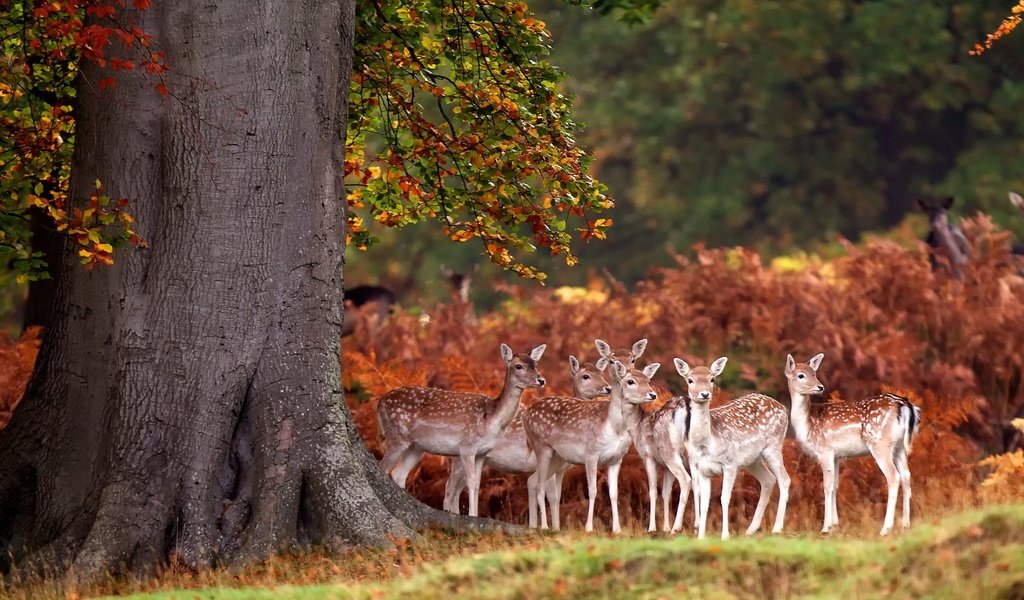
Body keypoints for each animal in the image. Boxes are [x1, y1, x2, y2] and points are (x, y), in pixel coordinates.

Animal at [376, 341, 548, 513]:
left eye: (536, 364)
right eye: (518, 366)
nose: (541, 380)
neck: (491, 420)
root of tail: (380, 403)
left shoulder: (482, 453)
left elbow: (477, 483)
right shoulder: (467, 447)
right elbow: (471, 481)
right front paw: (472, 514)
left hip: (416, 447)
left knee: (398, 473)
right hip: (396, 436)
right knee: (384, 467)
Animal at [444, 352, 610, 524]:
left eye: (602, 374)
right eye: (586, 376)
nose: (608, 387)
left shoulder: (560, 469)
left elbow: (555, 495)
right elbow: (551, 496)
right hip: (459, 457)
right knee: (450, 488)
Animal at [524, 352, 659, 528]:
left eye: (648, 381)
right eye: (631, 381)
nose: (652, 394)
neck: (614, 427)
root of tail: (526, 415)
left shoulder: (616, 459)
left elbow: (613, 493)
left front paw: (617, 528)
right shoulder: (591, 454)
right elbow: (593, 490)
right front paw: (588, 527)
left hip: (557, 457)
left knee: (533, 481)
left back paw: (537, 526)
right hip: (541, 447)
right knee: (540, 485)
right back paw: (545, 527)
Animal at [675, 352, 794, 540]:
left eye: (712, 378)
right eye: (690, 379)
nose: (704, 394)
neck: (707, 444)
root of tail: (783, 407)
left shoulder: (729, 463)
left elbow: (724, 498)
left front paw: (725, 535)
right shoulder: (701, 469)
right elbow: (704, 502)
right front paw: (701, 536)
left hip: (773, 447)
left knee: (784, 479)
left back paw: (776, 528)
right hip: (752, 460)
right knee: (768, 479)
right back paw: (751, 529)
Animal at [786, 350, 925, 532]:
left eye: (814, 373)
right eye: (801, 375)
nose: (820, 386)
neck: (807, 423)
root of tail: (906, 406)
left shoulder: (824, 450)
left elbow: (827, 486)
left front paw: (825, 528)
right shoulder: (836, 455)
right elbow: (835, 485)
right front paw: (835, 524)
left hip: (879, 443)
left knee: (893, 477)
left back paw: (885, 528)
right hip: (899, 446)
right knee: (906, 475)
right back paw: (906, 524)